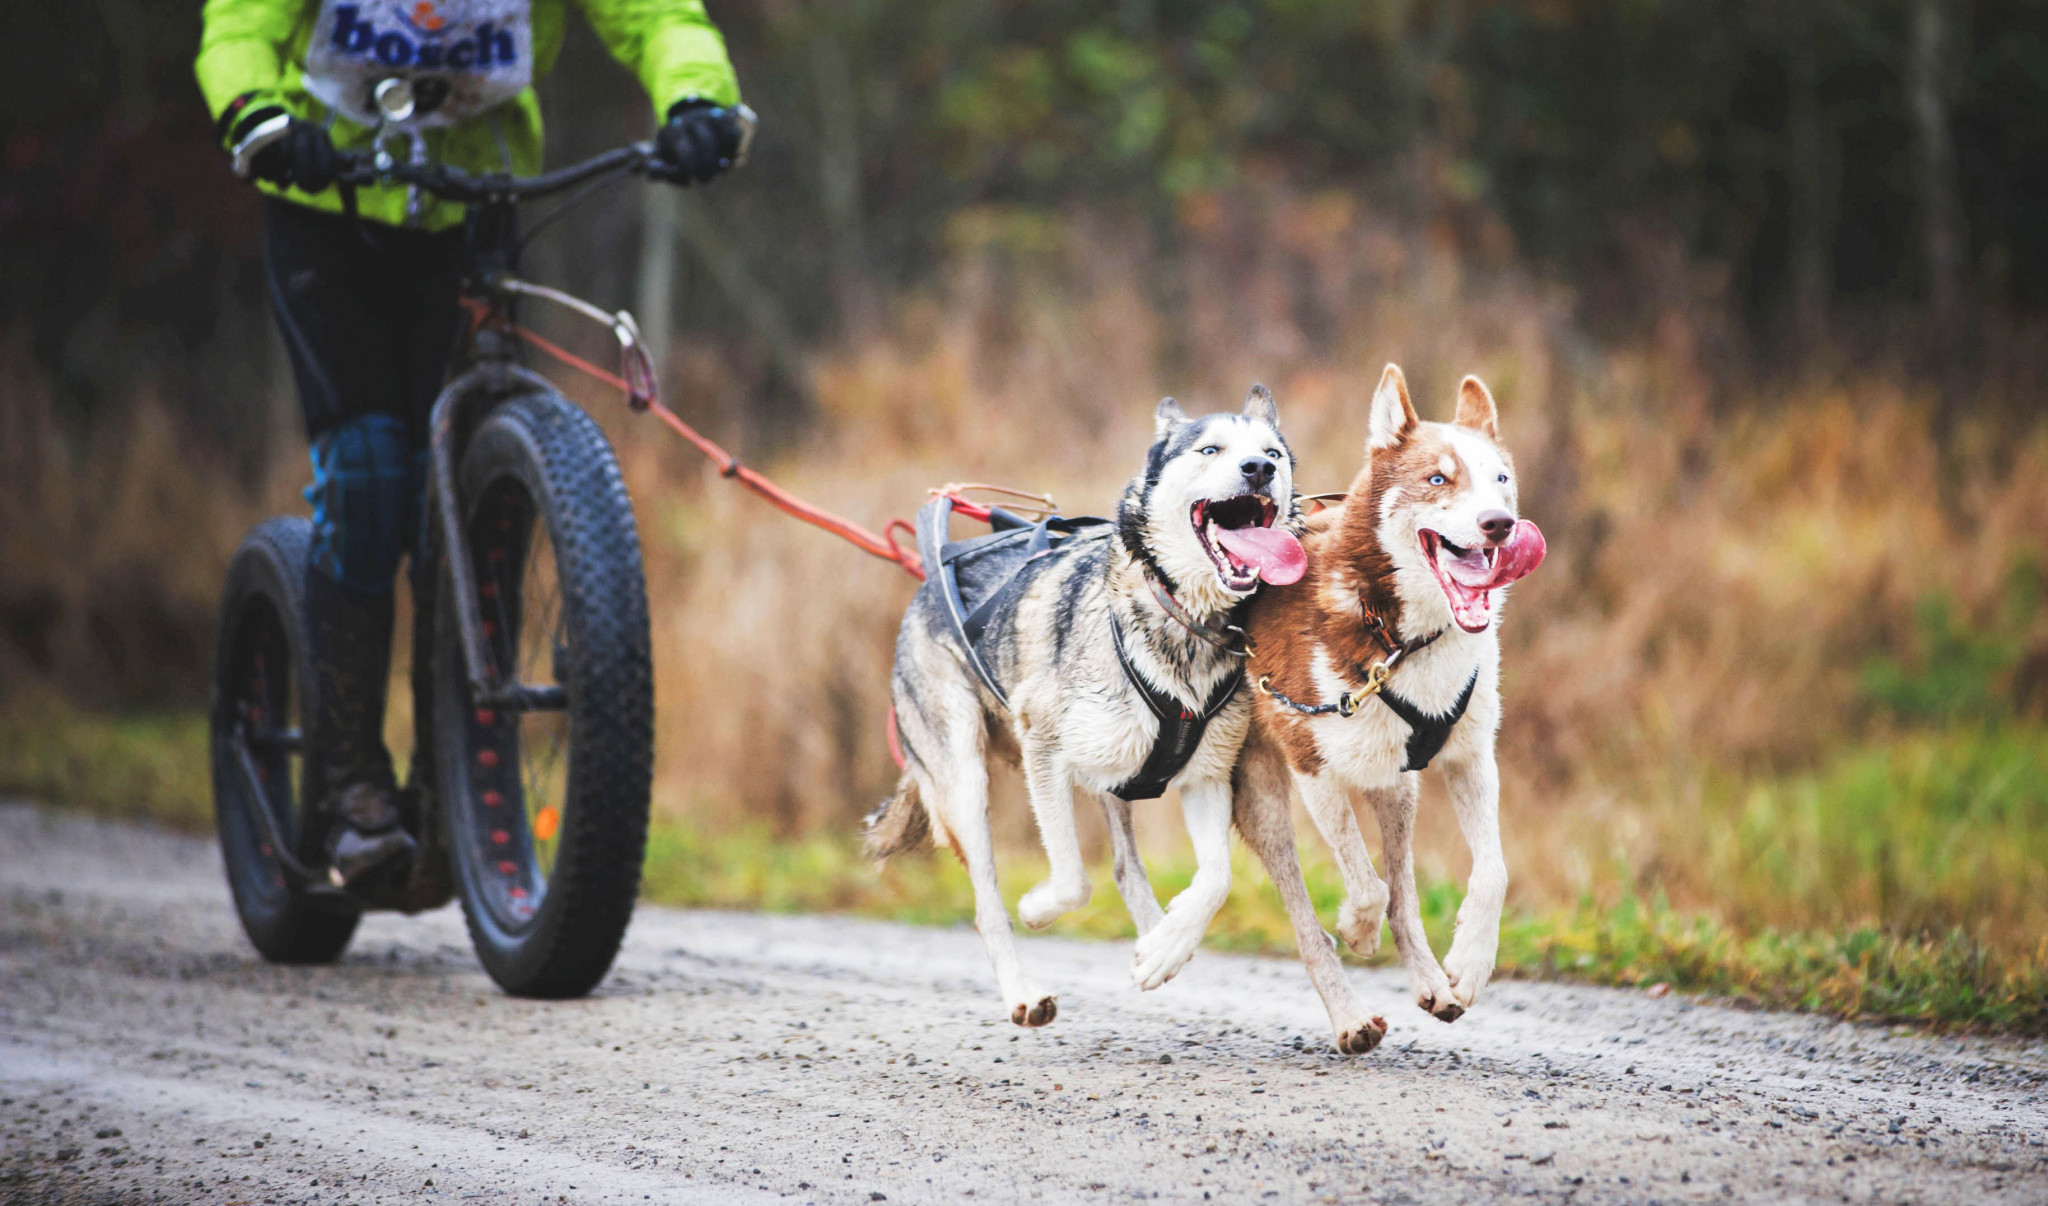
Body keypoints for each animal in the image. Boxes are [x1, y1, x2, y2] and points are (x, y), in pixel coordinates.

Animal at [865, 388, 1306, 1027]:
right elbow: (1073, 880)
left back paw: (1157, 935)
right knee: (986, 904)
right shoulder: (1043, 751)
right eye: (1211, 449)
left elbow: (1217, 877)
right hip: (966, 778)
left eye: (1272, 452)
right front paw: (1037, 908)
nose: (1258, 470)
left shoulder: (1206, 775)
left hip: (1114, 774)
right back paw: (1024, 992)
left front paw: (1168, 945)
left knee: (1126, 866)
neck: (1181, 623)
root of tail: (923, 585)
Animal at [1228, 365, 1546, 1054]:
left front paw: (1470, 965)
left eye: (1500, 480)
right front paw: (1357, 927)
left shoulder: (1469, 758)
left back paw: (1431, 982)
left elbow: (1492, 873)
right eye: (1438, 479)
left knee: (1405, 893)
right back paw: (1349, 1015)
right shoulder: (1312, 764)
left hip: (1396, 786)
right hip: (1266, 798)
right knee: (1311, 920)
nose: (1499, 525)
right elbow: (1364, 883)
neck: (1403, 639)